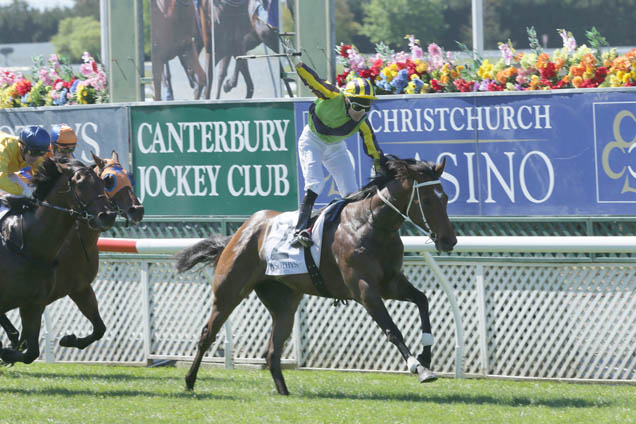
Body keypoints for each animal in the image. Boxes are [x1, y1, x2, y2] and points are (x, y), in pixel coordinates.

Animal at [0, 151, 144, 352]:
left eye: (128, 178)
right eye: (108, 180)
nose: (137, 210)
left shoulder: (80, 288)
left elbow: (99, 328)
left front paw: (69, 340)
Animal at [175, 156, 458, 394]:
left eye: (445, 198)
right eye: (428, 200)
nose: (449, 240)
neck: (372, 224)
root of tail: (242, 230)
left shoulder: (391, 283)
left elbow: (422, 300)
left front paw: (426, 356)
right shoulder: (364, 289)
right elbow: (392, 329)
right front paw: (419, 368)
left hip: (284, 303)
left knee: (272, 351)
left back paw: (284, 393)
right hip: (229, 291)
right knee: (207, 334)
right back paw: (189, 381)